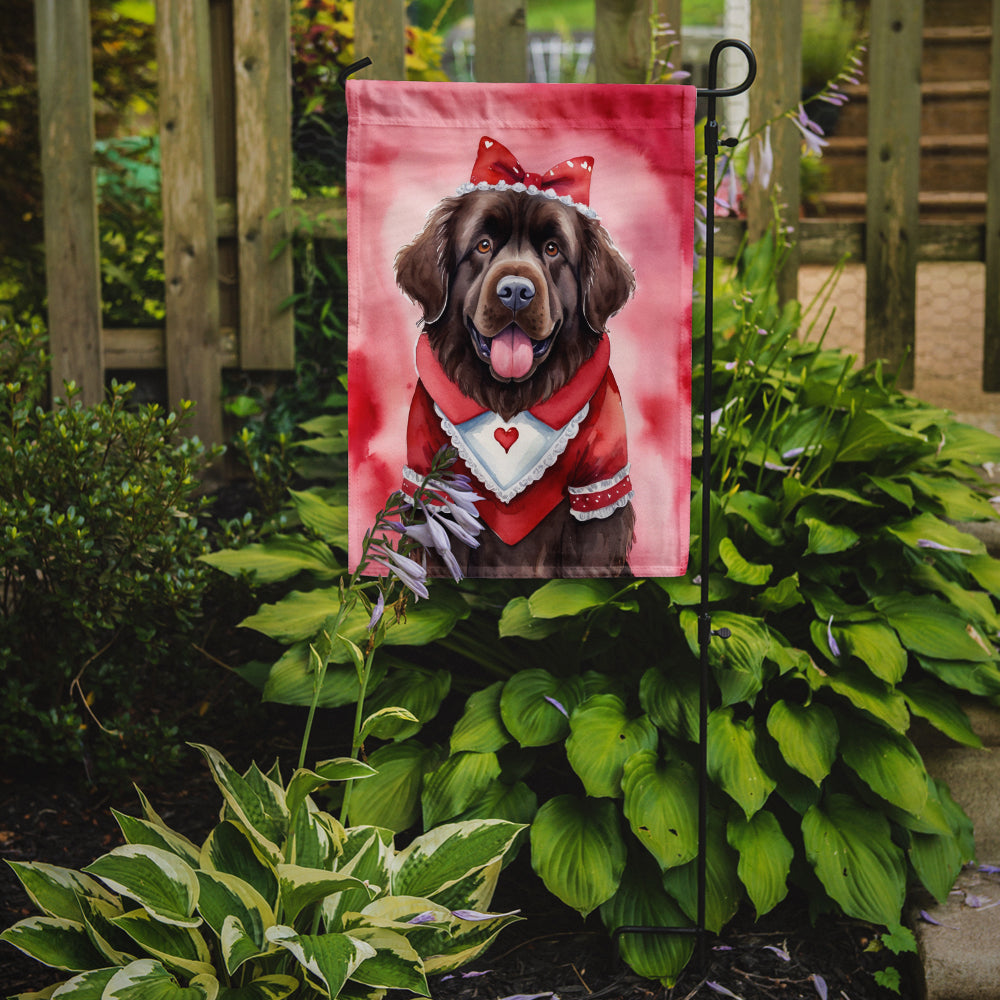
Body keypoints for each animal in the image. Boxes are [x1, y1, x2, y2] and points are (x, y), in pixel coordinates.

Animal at [394, 140, 636, 580]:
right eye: (483, 245)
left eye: (553, 249)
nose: (516, 292)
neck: (510, 399)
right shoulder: (431, 481)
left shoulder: (600, 485)